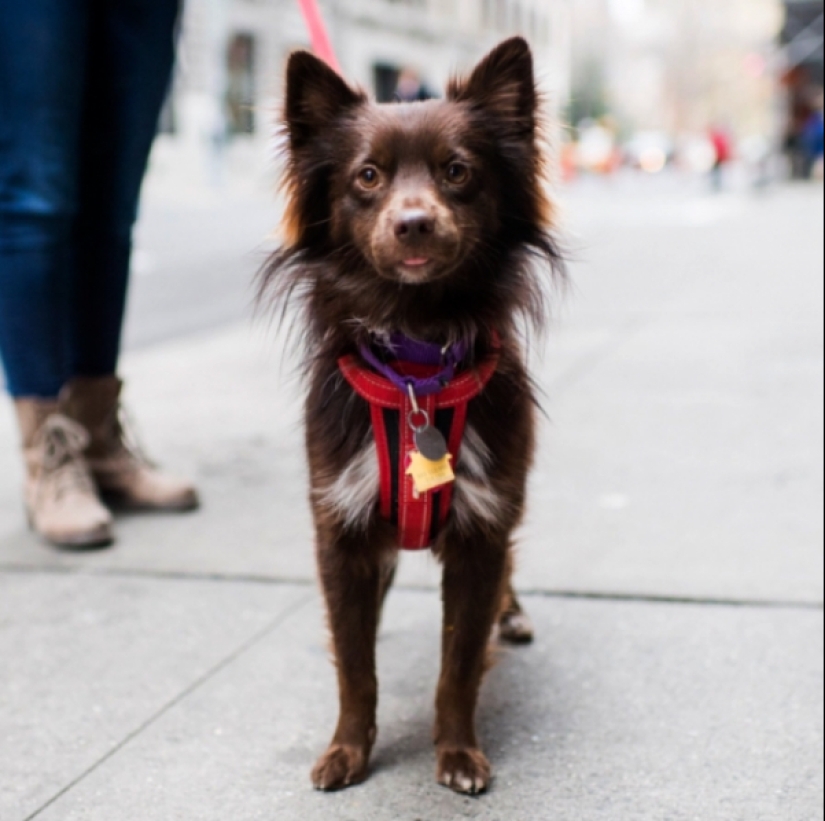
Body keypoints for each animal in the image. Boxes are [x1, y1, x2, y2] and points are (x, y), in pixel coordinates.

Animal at [260, 36, 564, 796]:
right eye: (366, 176)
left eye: (458, 171)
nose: (415, 222)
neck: (416, 355)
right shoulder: (340, 529)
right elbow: (355, 664)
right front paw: (348, 749)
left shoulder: (484, 526)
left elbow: (458, 663)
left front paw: (456, 753)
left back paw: (513, 615)